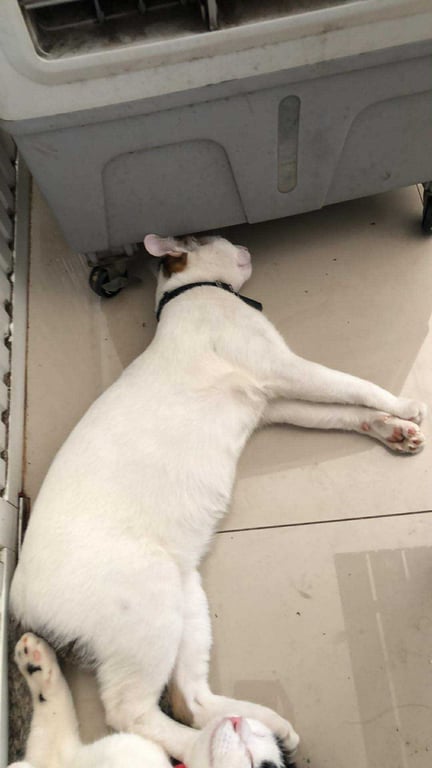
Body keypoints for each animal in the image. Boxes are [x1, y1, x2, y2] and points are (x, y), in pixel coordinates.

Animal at [9, 633, 291, 768]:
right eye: (259, 733)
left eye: (255, 763)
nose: (237, 723)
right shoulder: (61, 755)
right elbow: (55, 713)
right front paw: (37, 663)